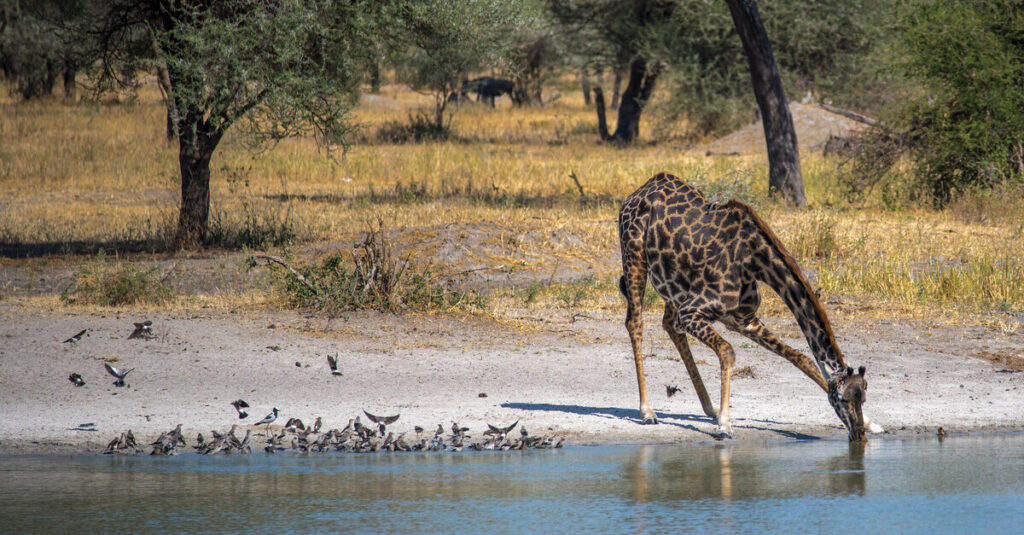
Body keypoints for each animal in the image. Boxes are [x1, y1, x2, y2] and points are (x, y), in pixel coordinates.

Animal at [618, 172, 880, 441]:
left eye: (863, 397)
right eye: (843, 399)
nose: (858, 435)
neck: (754, 261)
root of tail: (640, 190)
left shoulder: (743, 320)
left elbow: (801, 358)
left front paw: (872, 423)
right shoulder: (692, 311)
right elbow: (727, 351)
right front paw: (725, 425)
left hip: (673, 287)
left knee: (669, 324)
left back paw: (710, 408)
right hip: (634, 255)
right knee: (635, 323)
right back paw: (648, 411)